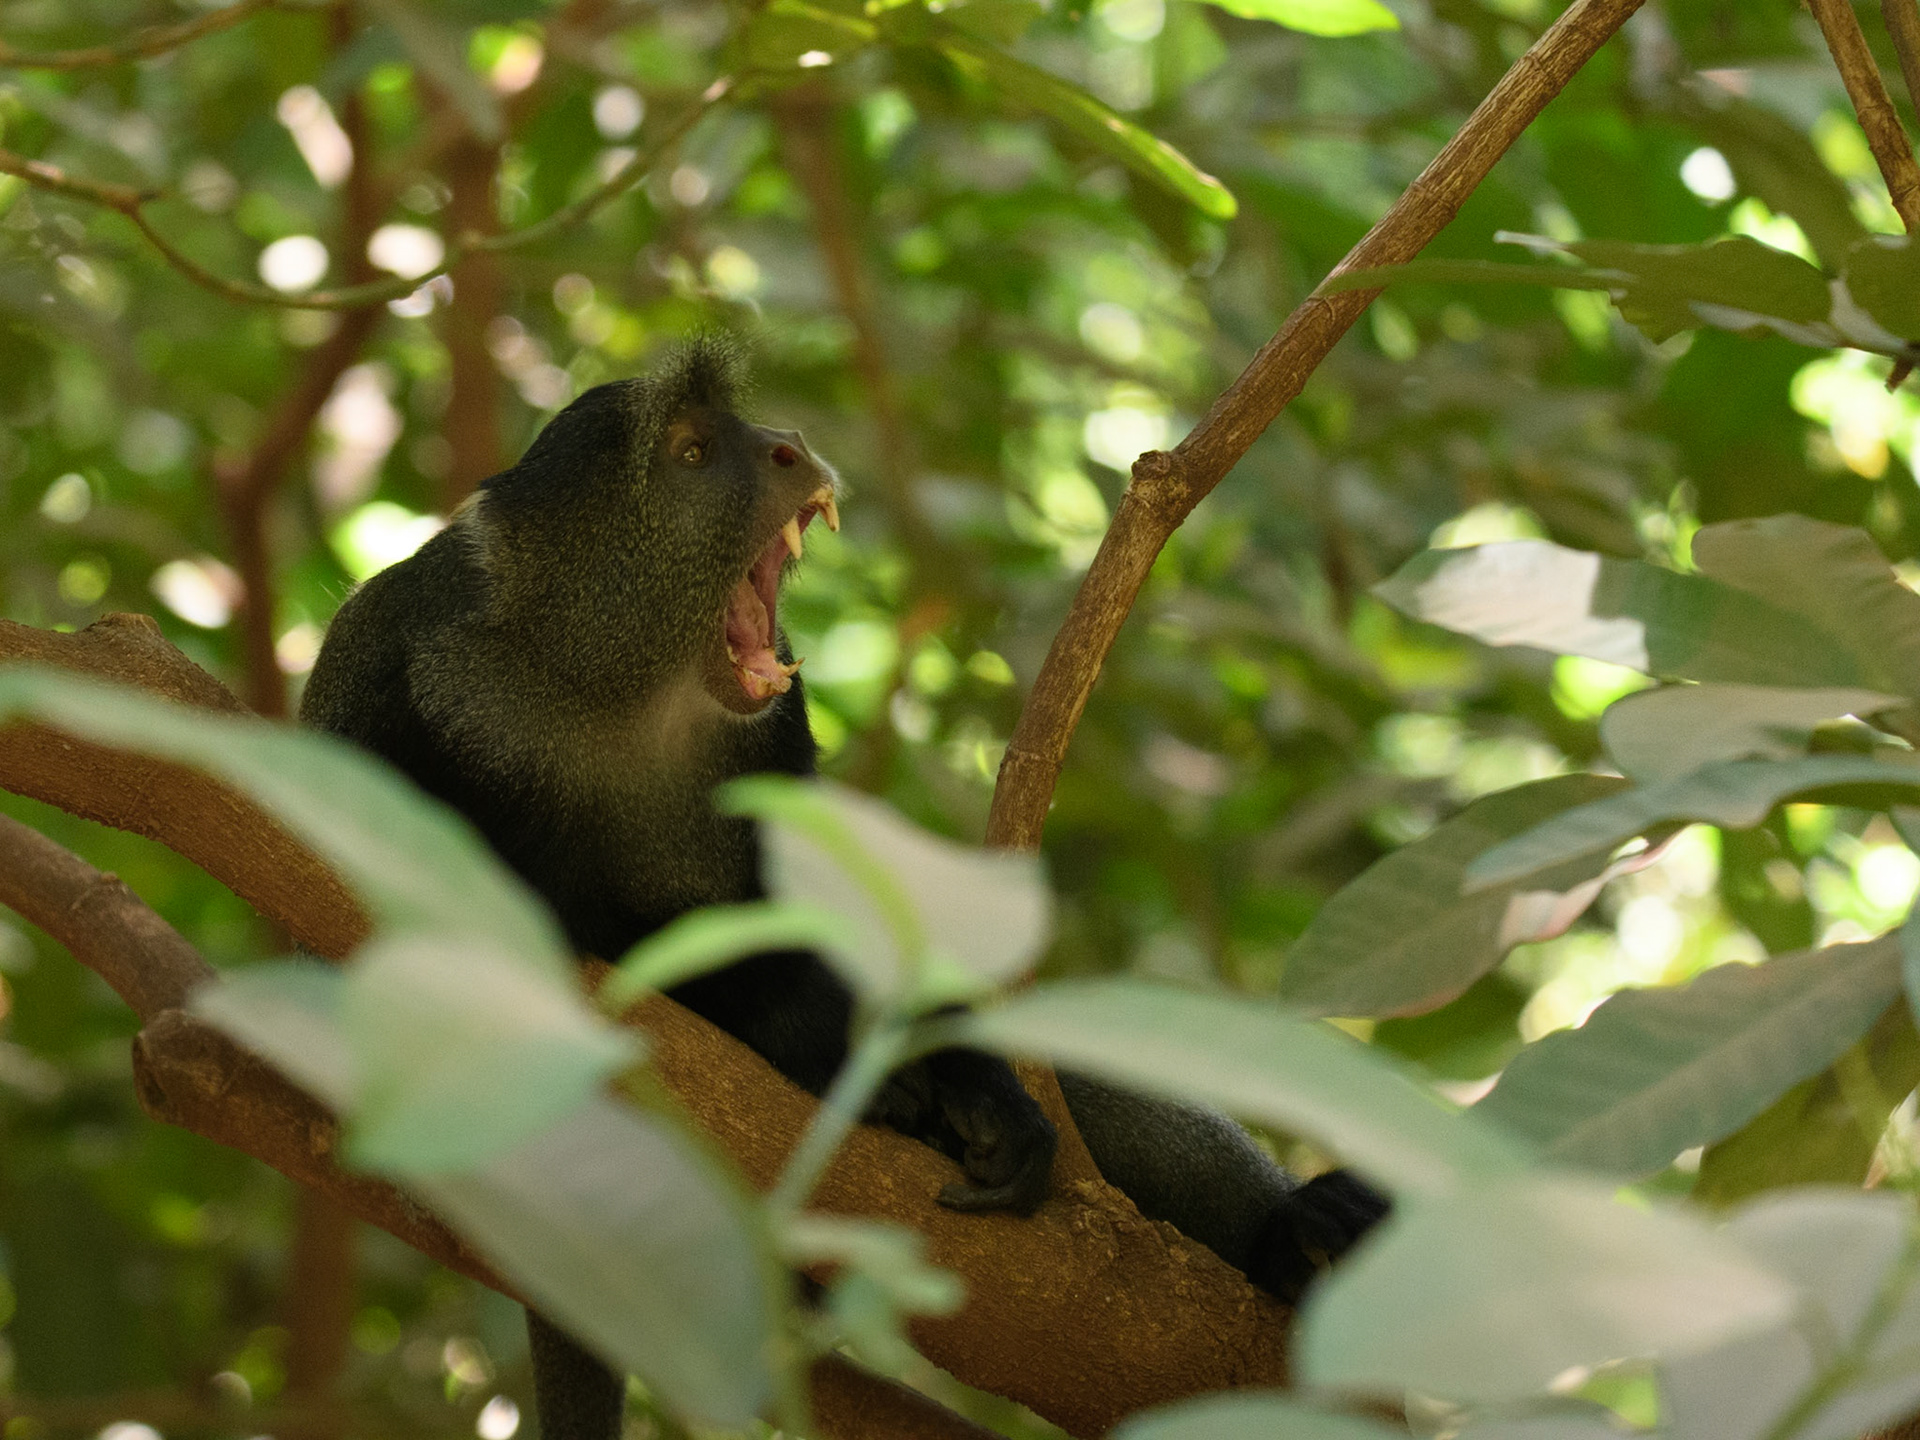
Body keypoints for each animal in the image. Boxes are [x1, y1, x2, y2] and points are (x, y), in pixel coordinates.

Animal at [300, 339, 1385, 1440]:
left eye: (741, 433)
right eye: (692, 452)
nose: (787, 444)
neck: (604, 693)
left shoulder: (773, 735)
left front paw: (974, 1091)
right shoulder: (415, 699)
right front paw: (833, 1053)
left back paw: (1294, 1232)